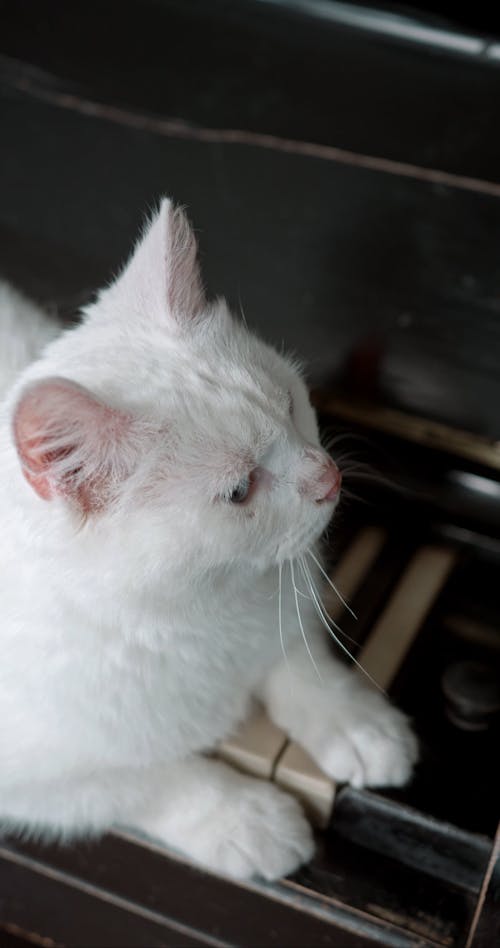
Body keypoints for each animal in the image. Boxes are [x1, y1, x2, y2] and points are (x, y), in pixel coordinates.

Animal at [0, 202, 416, 880]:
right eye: (239, 490)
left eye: (289, 404)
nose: (328, 477)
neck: (199, 610)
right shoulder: (37, 782)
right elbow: (148, 780)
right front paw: (245, 818)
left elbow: (299, 658)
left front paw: (355, 721)